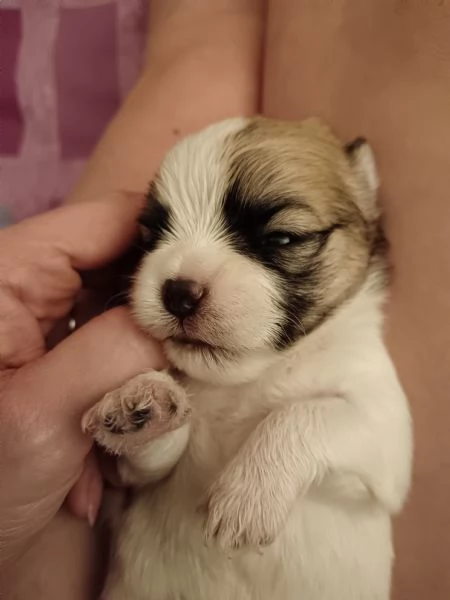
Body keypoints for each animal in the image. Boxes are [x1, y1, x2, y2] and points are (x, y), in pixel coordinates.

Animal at [82, 117, 414, 600]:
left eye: (281, 238)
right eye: (151, 237)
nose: (178, 293)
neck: (248, 379)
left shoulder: (385, 435)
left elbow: (305, 414)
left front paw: (248, 495)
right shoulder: (138, 476)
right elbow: (154, 451)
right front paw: (143, 402)